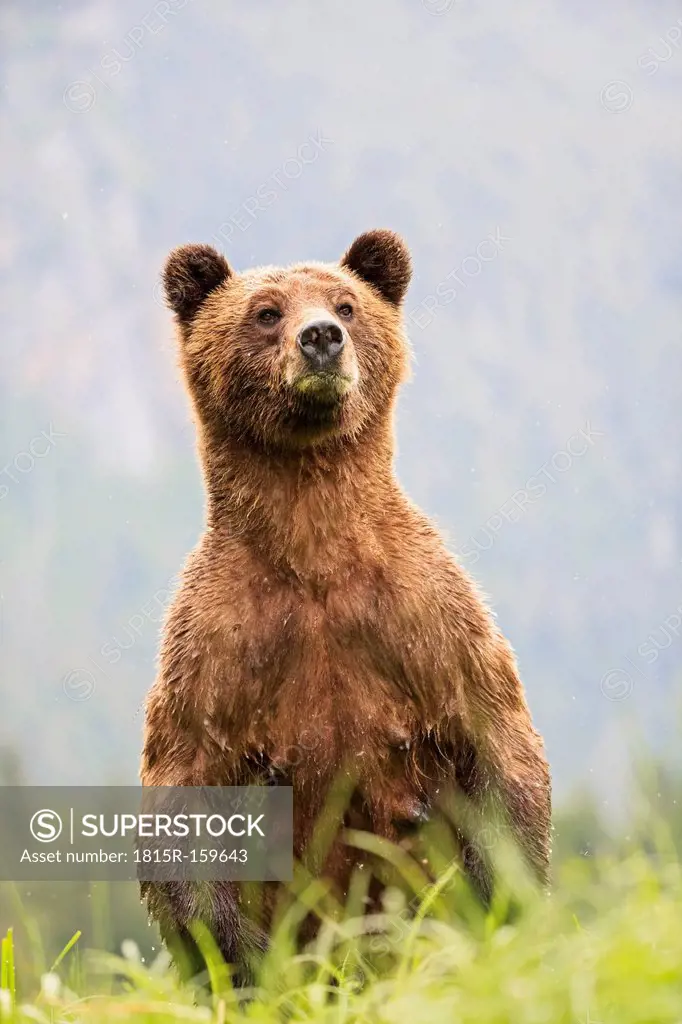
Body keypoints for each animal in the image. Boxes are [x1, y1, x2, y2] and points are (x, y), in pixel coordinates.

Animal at [140, 228, 548, 970]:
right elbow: (185, 793)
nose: (321, 337)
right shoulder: (217, 646)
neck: (315, 553)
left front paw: (504, 907)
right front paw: (251, 962)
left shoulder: (427, 618)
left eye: (347, 304)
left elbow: (498, 749)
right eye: (266, 311)